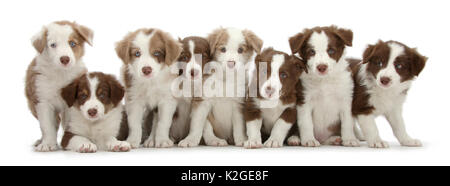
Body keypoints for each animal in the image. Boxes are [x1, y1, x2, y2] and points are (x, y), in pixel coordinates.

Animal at [24, 20, 93, 151]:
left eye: (72, 43)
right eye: (53, 45)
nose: (65, 59)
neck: (60, 74)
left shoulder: (71, 103)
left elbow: (70, 124)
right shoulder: (43, 101)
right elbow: (47, 125)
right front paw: (47, 144)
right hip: (32, 104)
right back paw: (41, 141)